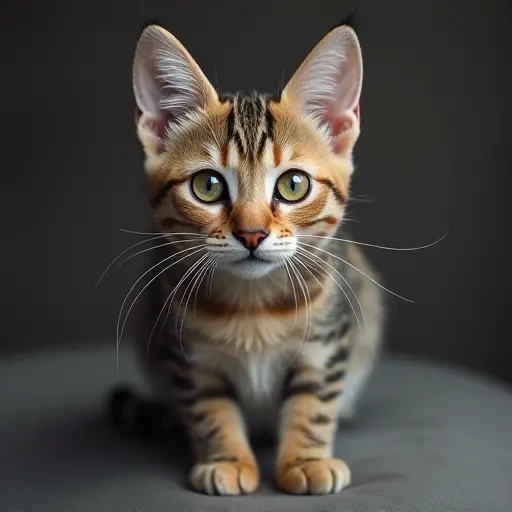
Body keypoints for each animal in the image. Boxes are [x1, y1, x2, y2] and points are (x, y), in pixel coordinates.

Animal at [110, 17, 386, 496]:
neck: (253, 306)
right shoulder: (186, 354)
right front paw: (227, 460)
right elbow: (209, 409)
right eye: (207, 186)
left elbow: (314, 402)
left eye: (293, 185)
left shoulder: (328, 341)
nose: (252, 233)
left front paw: (307, 460)